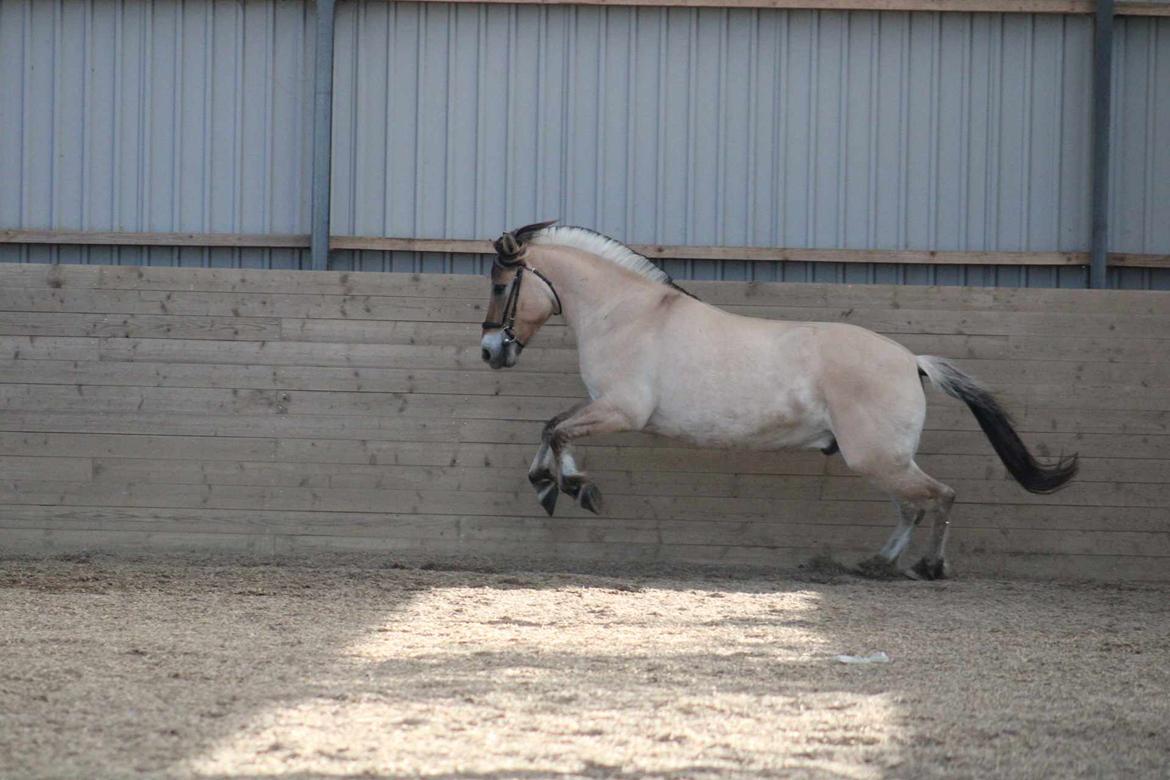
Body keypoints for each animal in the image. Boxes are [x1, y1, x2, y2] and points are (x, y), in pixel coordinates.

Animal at [477, 219, 1076, 580]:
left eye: (501, 287)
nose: (490, 351)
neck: (627, 313)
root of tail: (912, 361)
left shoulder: (621, 411)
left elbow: (556, 430)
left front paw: (574, 488)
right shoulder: (603, 408)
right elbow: (550, 426)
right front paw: (548, 485)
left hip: (876, 457)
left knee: (940, 496)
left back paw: (928, 568)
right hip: (883, 459)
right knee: (912, 503)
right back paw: (877, 563)